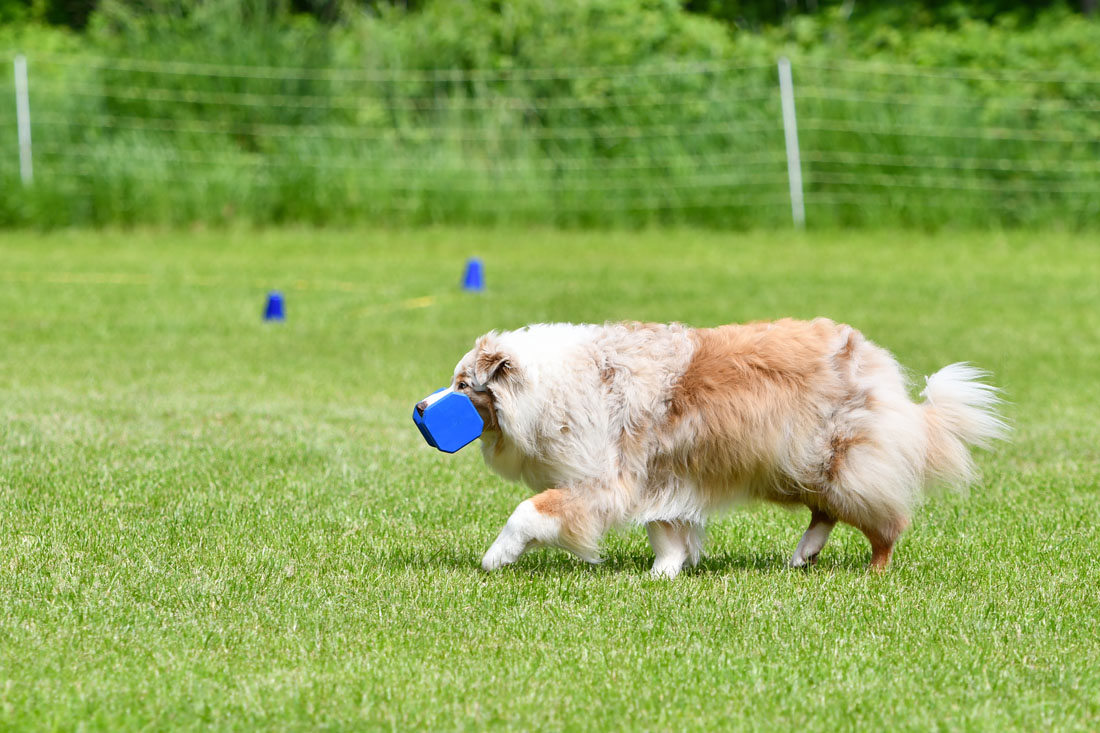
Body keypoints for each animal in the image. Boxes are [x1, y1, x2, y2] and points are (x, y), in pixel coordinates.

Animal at [420, 319, 1007, 576]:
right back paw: (802, 556)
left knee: (884, 520)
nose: (422, 409)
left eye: (463, 384)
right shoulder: (654, 475)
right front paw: (664, 573)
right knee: (825, 511)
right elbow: (666, 532)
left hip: (831, 460)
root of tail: (871, 357)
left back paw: (874, 571)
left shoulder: (604, 480)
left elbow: (527, 511)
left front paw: (495, 558)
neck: (549, 386)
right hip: (797, 467)